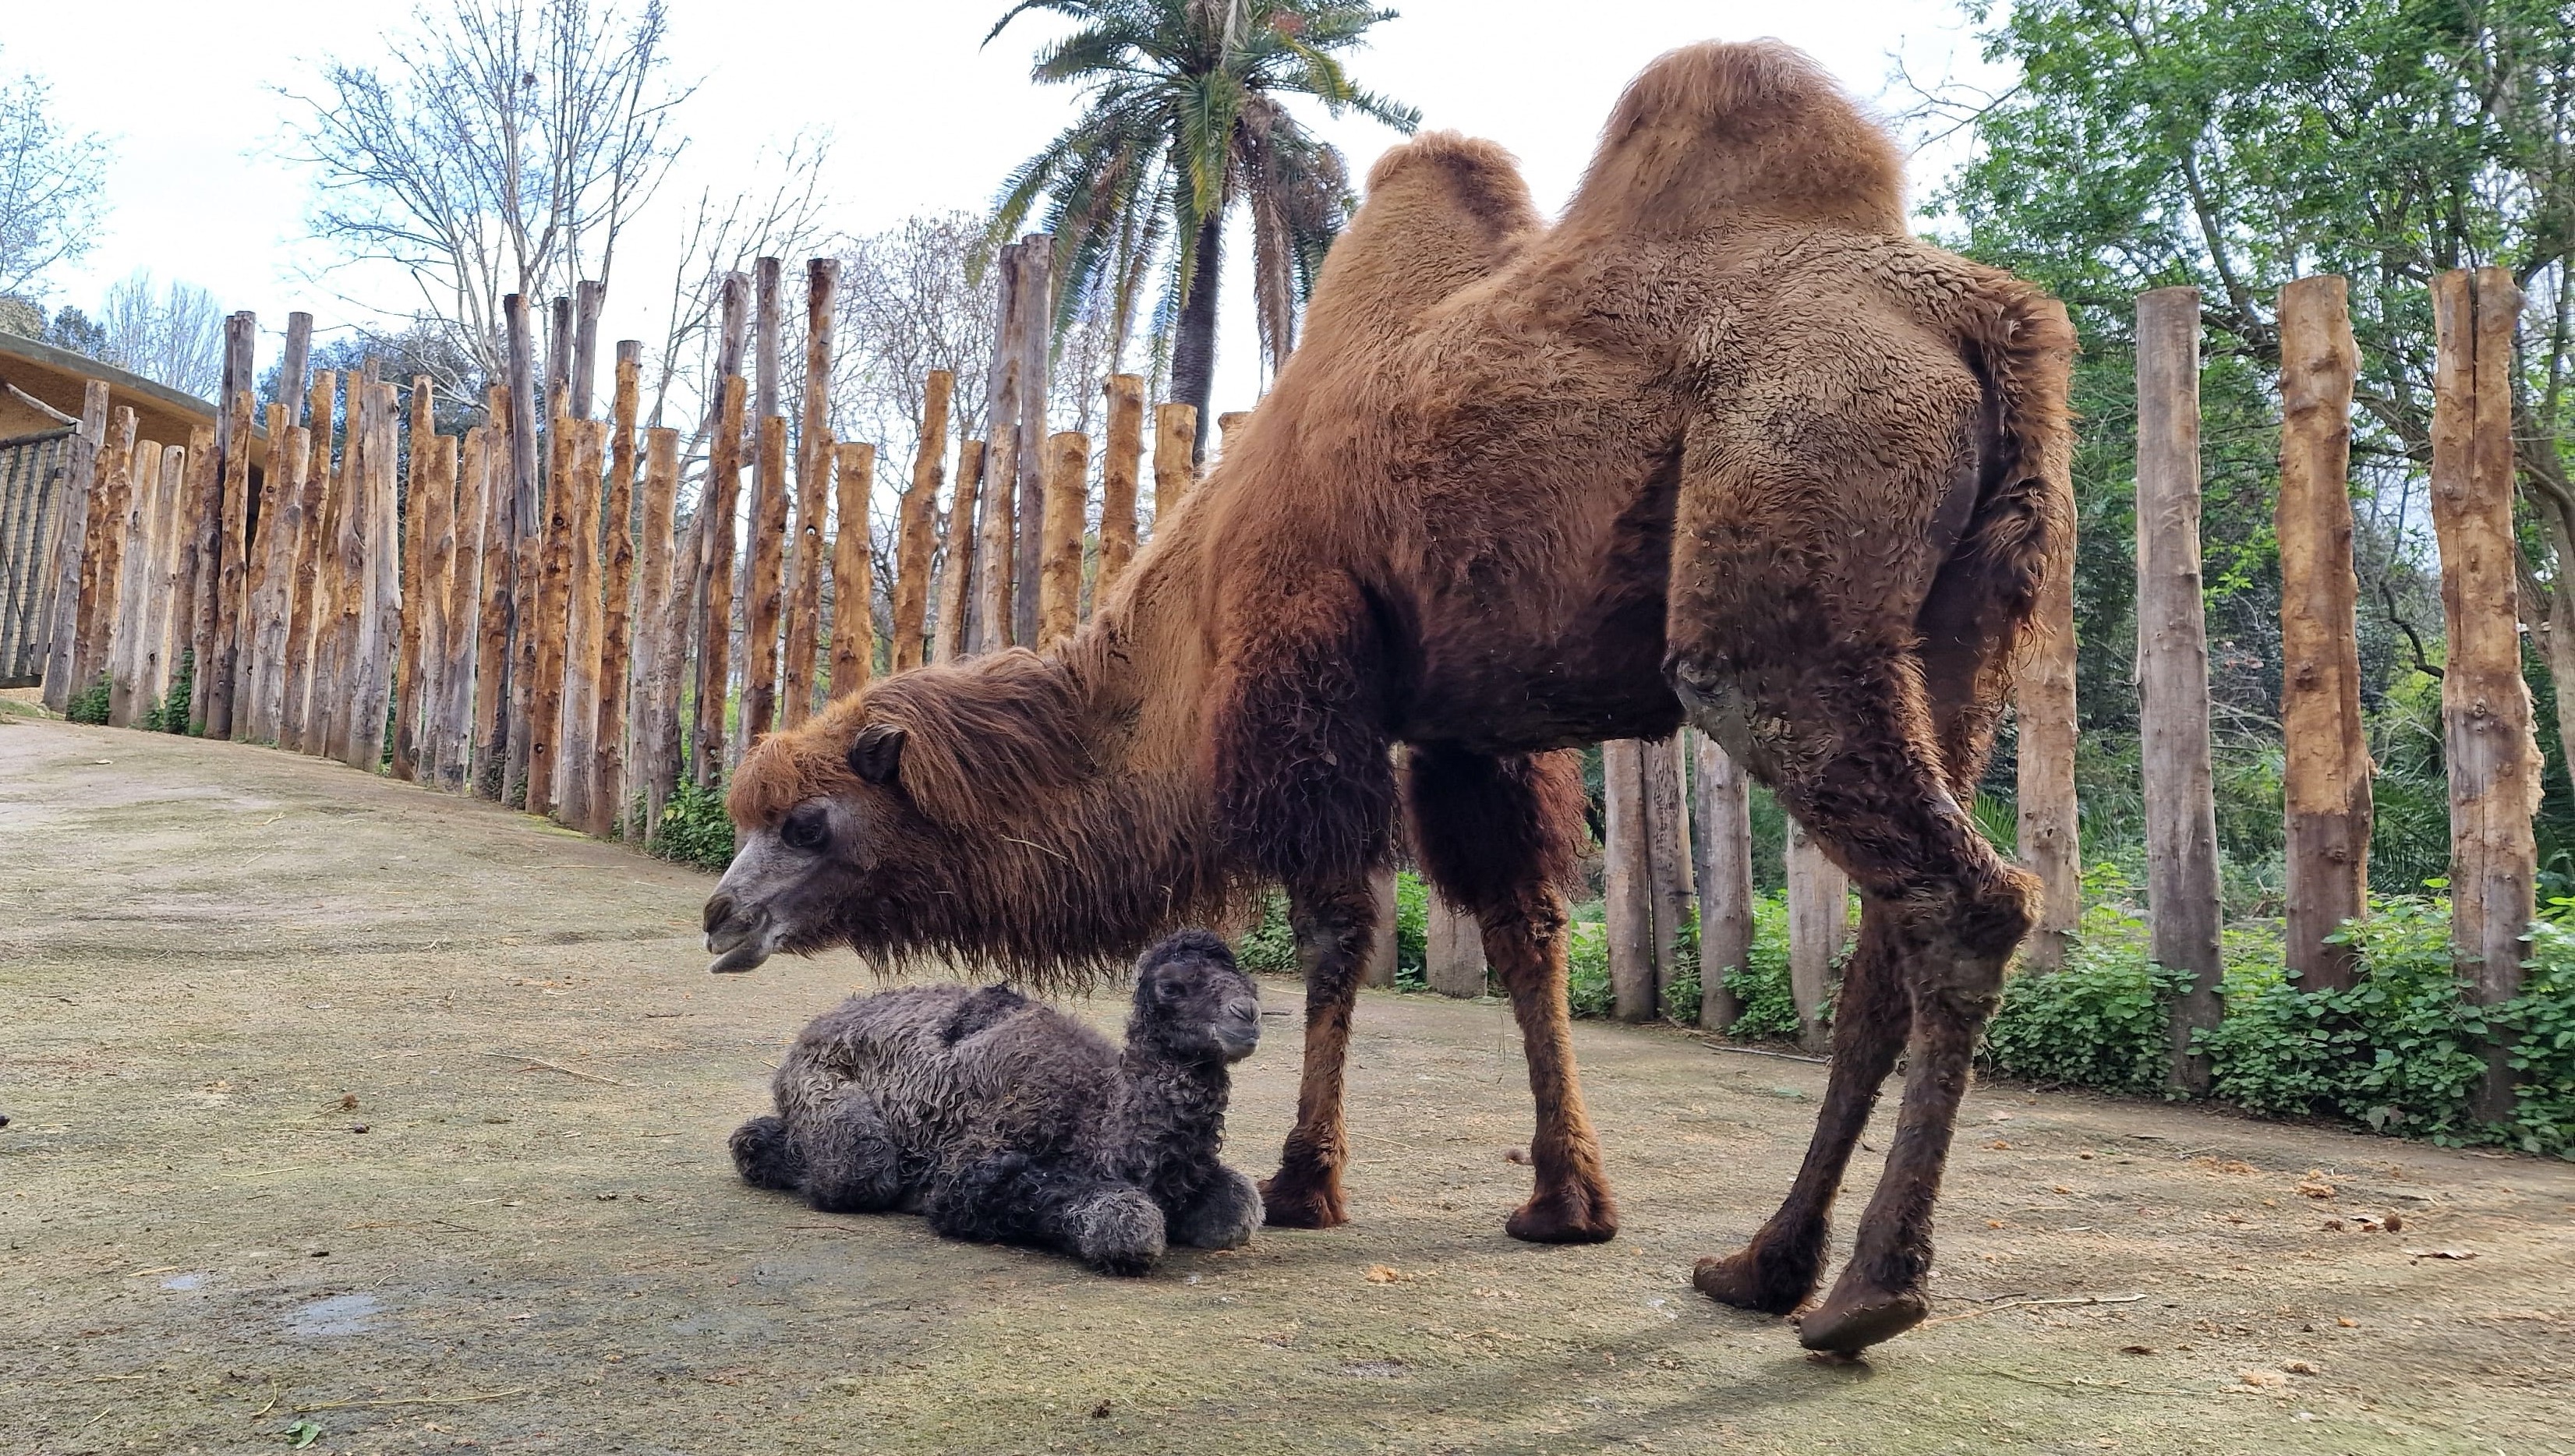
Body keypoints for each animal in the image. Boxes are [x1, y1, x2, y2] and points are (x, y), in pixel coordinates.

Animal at [731, 936, 1261, 1275]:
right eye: (1172, 987)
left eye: (1247, 981)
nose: (1248, 1016)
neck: (1100, 1119)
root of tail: (817, 1026)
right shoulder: (972, 1172)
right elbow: (1127, 1221)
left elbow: (1239, 1206)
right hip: (821, 1083)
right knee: (854, 1171)